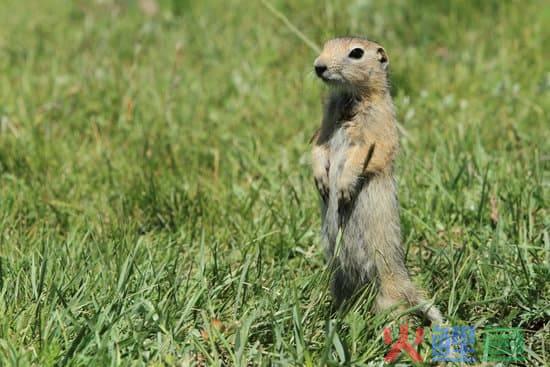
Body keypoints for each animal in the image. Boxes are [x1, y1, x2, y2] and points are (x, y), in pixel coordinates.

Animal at [310, 36, 444, 324]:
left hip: (387, 296)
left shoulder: (379, 127)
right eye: (325, 45)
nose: (319, 66)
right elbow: (317, 148)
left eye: (356, 53)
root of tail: (405, 286)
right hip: (339, 281)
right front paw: (322, 182)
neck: (349, 98)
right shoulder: (323, 126)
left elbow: (366, 154)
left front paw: (343, 189)